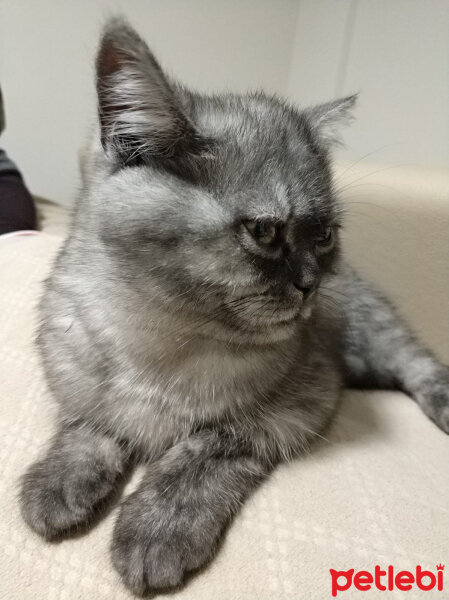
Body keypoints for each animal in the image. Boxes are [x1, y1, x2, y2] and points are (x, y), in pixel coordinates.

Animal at [20, 17, 448, 596]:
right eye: (266, 232)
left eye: (324, 236)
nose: (312, 285)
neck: (159, 342)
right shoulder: (75, 374)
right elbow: (88, 423)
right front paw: (59, 478)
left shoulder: (303, 399)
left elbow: (208, 444)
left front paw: (157, 526)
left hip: (371, 338)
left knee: (418, 364)